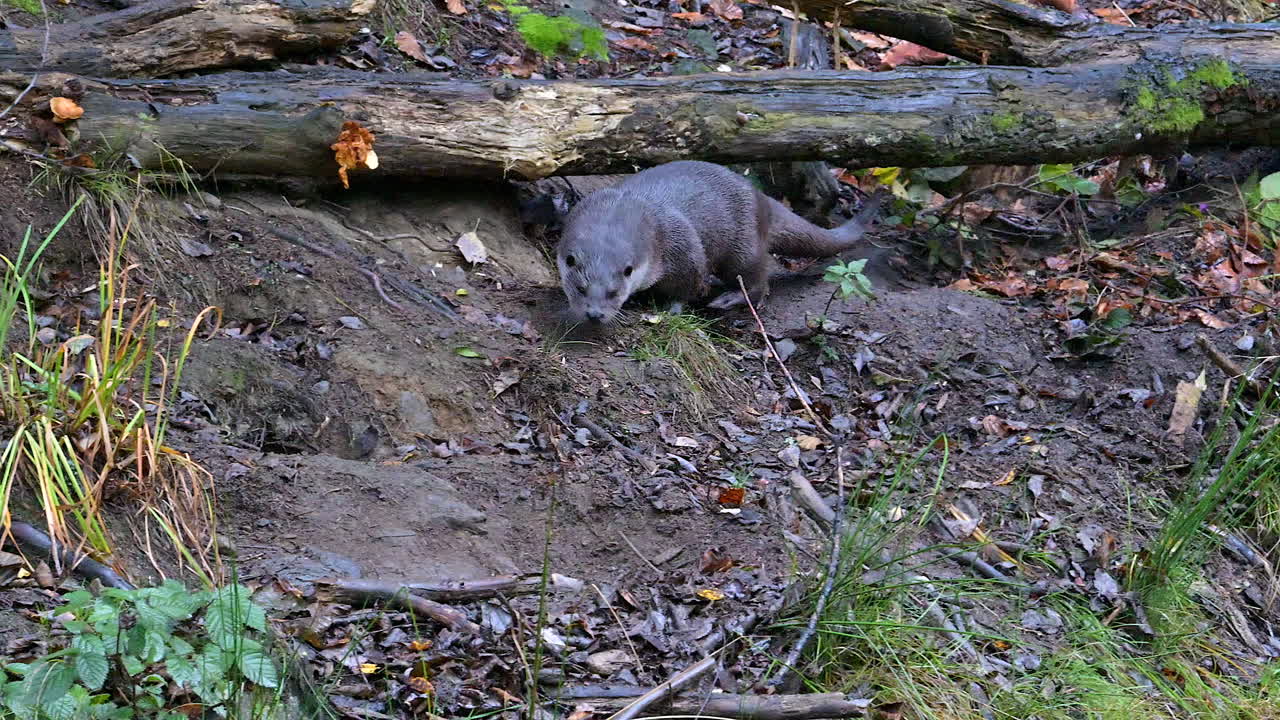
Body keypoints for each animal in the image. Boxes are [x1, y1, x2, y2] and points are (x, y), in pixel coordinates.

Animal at [555, 161, 886, 326]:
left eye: (613, 292)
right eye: (580, 288)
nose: (594, 315)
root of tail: (761, 199)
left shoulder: (683, 247)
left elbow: (688, 285)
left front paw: (672, 309)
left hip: (743, 246)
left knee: (758, 279)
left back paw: (727, 299)